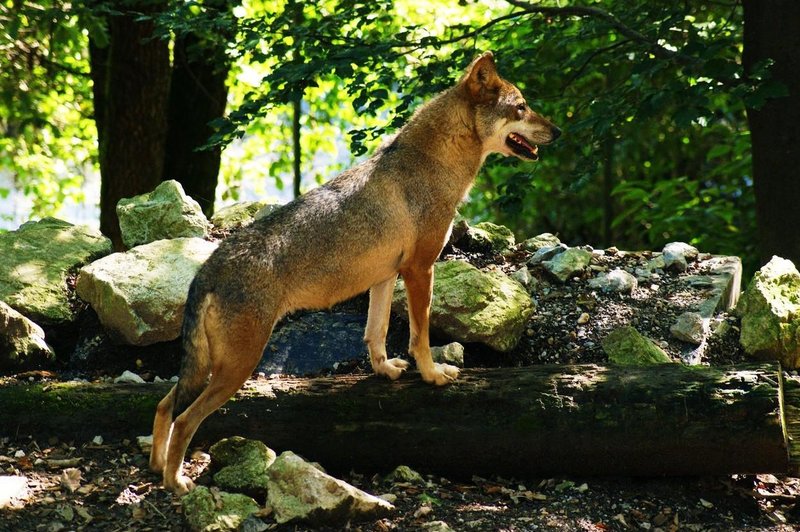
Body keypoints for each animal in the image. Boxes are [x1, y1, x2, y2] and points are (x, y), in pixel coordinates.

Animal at [152, 52, 564, 492]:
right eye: (521, 107)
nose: (558, 130)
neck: (434, 161)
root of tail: (206, 272)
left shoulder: (386, 276)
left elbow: (376, 333)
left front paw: (385, 371)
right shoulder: (420, 269)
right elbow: (420, 336)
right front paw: (432, 375)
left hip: (209, 368)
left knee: (163, 405)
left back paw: (157, 467)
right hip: (234, 370)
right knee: (184, 419)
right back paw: (176, 482)